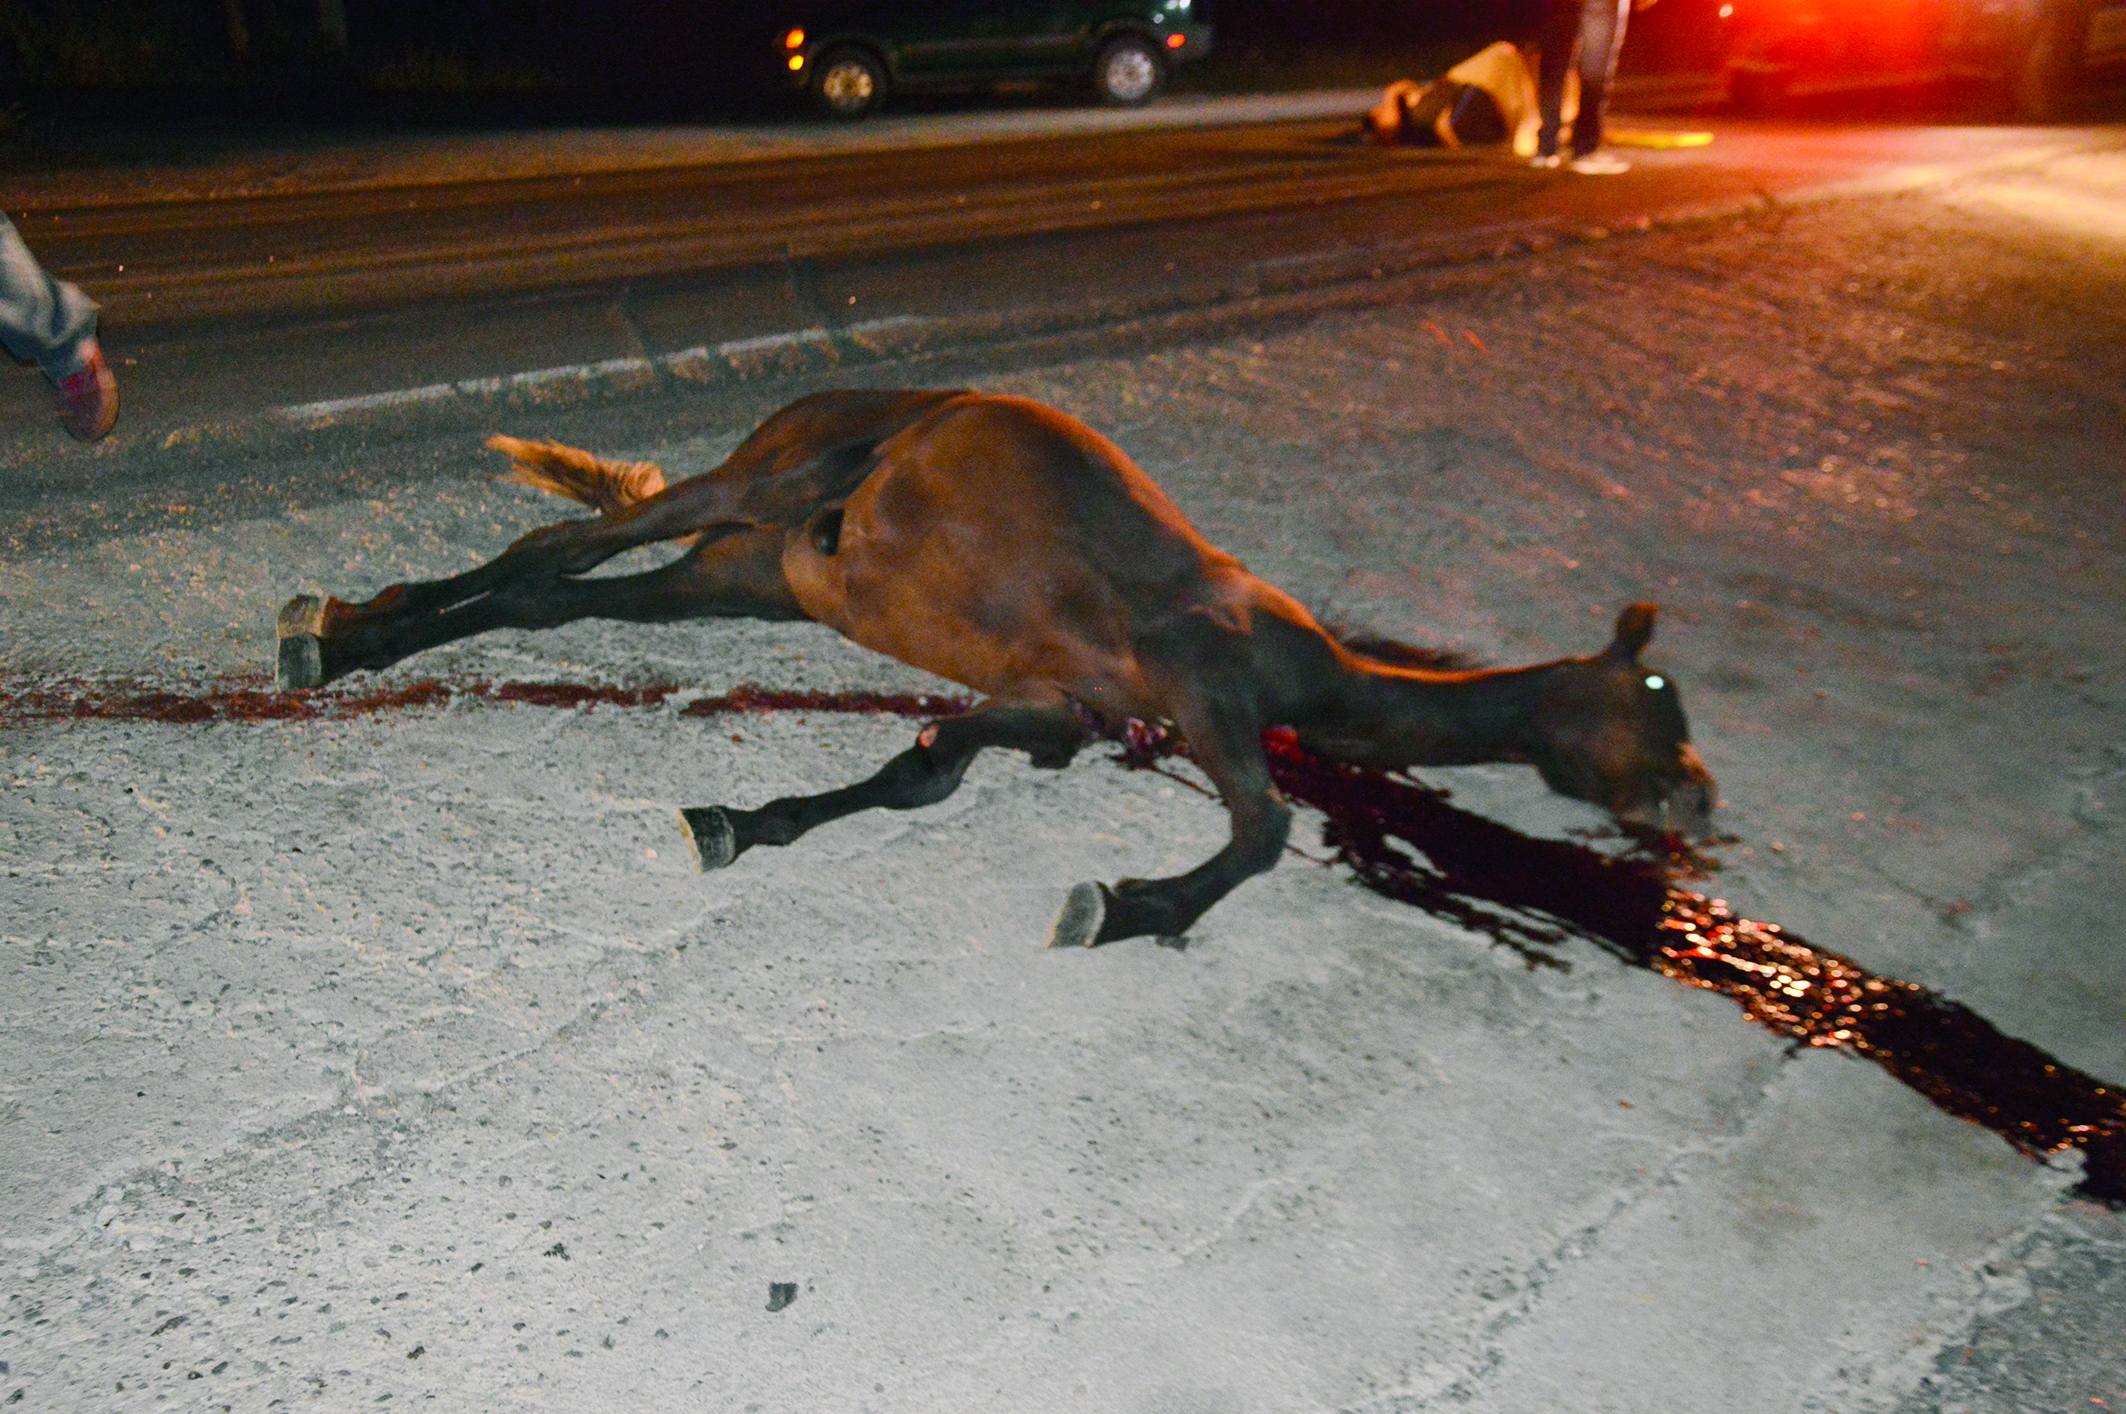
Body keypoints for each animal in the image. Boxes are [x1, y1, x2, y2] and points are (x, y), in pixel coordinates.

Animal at [278, 386, 1709, 944]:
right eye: (1652, 690)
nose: (1697, 793)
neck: (1304, 668)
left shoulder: (1051, 703)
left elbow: (928, 766)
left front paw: (737, 821)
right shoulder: (1200, 685)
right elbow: (1259, 829)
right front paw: (1126, 906)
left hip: (742, 572)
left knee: (554, 593)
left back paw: (361, 631)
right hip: (763, 481)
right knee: (557, 539)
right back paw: (334, 628)